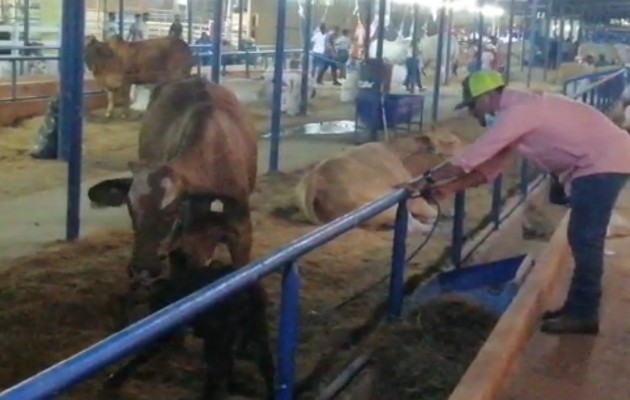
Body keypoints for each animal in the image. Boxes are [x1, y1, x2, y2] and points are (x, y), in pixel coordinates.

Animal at [105, 250, 276, 400]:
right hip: (256, 325)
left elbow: (145, 352)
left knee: (218, 367)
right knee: (264, 359)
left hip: (219, 335)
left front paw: (114, 380)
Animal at [294, 130, 466, 233]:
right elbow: (431, 210)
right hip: (385, 204)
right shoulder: (411, 195)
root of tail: (315, 179)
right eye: (453, 142)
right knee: (411, 225)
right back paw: (429, 227)